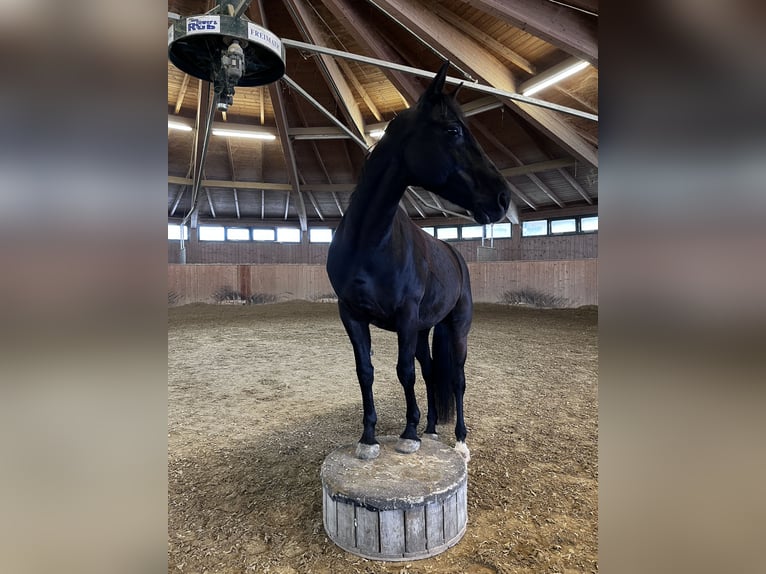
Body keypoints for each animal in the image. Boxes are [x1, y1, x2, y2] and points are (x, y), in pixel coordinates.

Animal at [326, 61, 515, 463]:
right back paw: (431, 428)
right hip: (425, 330)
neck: (369, 241)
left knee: (456, 379)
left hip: (455, 329)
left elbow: (404, 373)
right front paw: (369, 438)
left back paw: (458, 440)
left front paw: (408, 433)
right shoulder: (352, 315)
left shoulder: (406, 316)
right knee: (431, 372)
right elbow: (366, 371)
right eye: (453, 130)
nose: (502, 198)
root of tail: (455, 255)